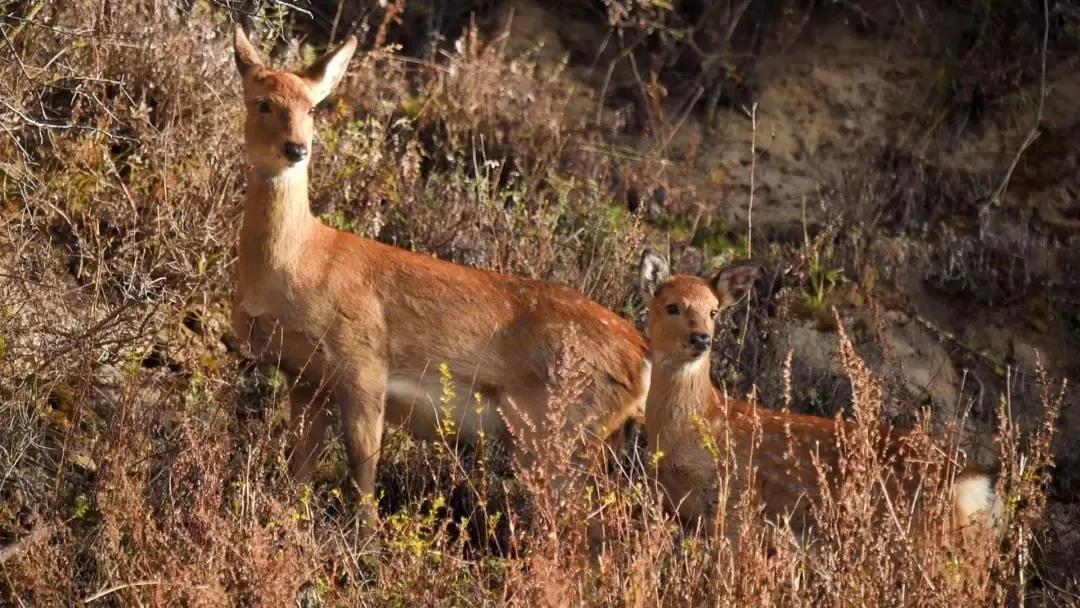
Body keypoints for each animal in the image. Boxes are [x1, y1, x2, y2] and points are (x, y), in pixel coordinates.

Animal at [231, 26, 643, 524]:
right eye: (262, 102)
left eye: (311, 107)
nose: (296, 148)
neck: (299, 262)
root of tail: (642, 359)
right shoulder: (305, 376)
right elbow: (300, 469)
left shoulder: (364, 362)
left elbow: (363, 472)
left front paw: (365, 539)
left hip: (556, 432)